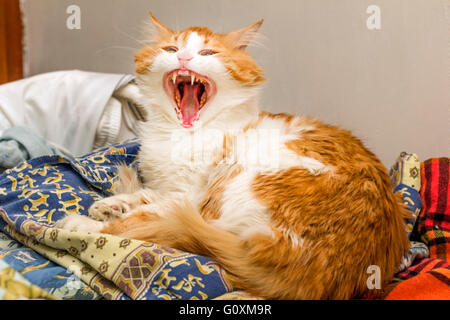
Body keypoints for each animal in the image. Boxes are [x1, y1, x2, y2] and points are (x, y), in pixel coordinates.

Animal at [54, 13, 410, 300]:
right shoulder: (171, 188)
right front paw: (109, 205)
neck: (182, 134)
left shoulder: (189, 197)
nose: (184, 56)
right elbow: (143, 195)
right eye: (170, 50)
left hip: (241, 185)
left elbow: (135, 219)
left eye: (207, 53)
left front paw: (88, 222)